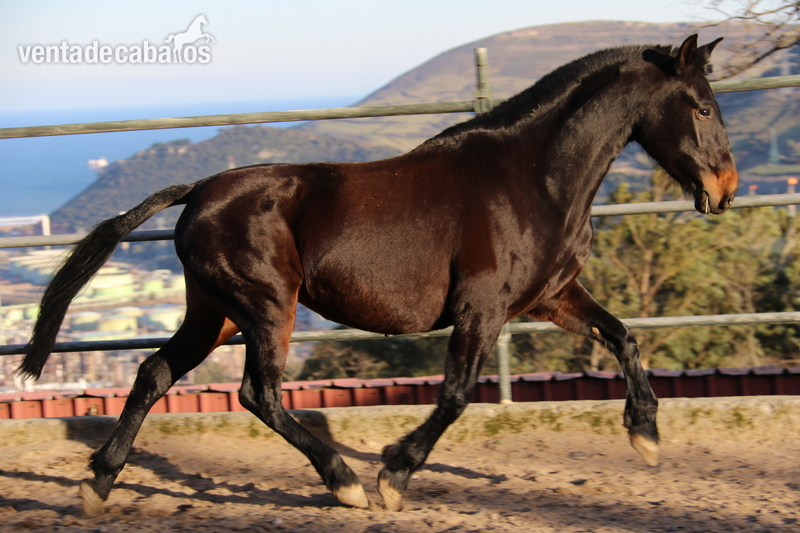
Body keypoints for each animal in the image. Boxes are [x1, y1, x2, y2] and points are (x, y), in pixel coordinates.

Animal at [18, 35, 738, 515]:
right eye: (702, 108)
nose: (725, 190)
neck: (534, 179)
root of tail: (197, 192)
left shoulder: (552, 297)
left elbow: (623, 336)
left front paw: (645, 435)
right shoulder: (482, 309)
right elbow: (455, 394)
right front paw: (394, 476)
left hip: (214, 312)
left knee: (153, 373)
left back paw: (97, 484)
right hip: (266, 308)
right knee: (257, 393)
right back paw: (344, 482)